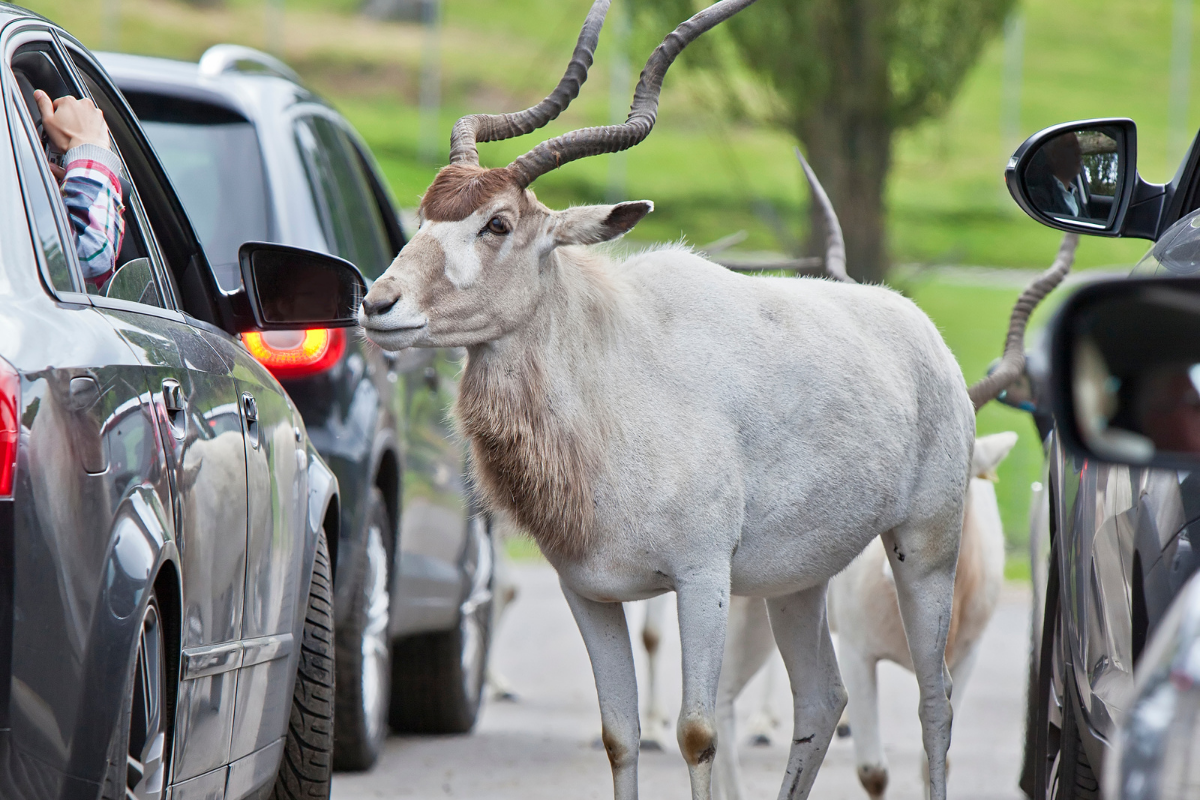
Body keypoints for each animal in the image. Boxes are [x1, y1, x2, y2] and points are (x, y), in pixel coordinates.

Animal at [355, 1, 1070, 796]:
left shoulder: (702, 578)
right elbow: (619, 736)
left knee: (935, 700)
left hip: (925, 547)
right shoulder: (588, 593)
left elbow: (696, 732)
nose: (377, 304)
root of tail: (921, 332)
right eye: (423, 216)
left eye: (497, 223)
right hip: (798, 580)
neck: (610, 378)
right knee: (822, 697)